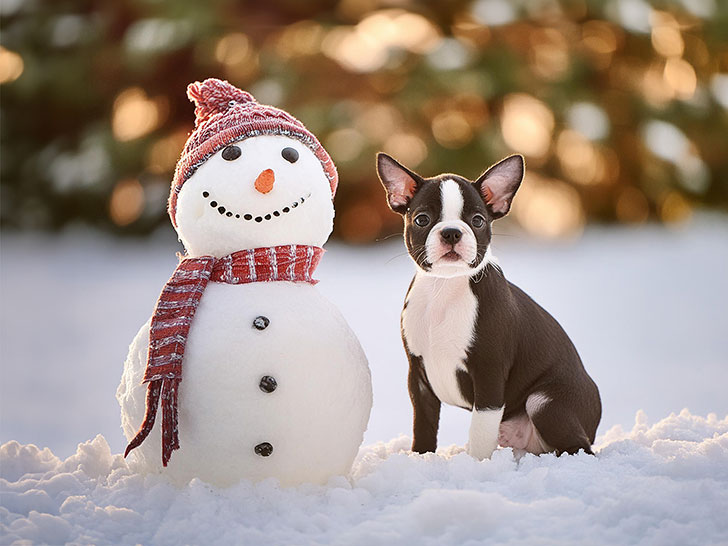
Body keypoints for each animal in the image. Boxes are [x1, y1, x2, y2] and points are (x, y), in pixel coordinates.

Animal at [378, 151, 600, 456]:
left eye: (478, 221)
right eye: (422, 220)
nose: (451, 232)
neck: (445, 287)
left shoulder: (489, 376)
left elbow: (481, 432)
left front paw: (475, 464)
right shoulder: (419, 380)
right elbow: (423, 425)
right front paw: (420, 458)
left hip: (545, 403)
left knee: (578, 446)